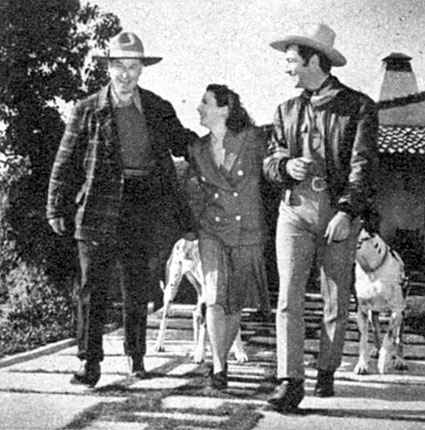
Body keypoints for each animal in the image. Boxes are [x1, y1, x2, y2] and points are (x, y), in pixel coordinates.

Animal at [352, 227, 408, 374]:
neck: (372, 269)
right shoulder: (362, 311)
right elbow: (363, 340)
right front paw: (362, 365)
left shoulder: (396, 311)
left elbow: (389, 337)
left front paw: (383, 363)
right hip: (373, 313)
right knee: (376, 331)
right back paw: (376, 350)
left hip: (402, 315)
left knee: (399, 338)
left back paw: (400, 360)